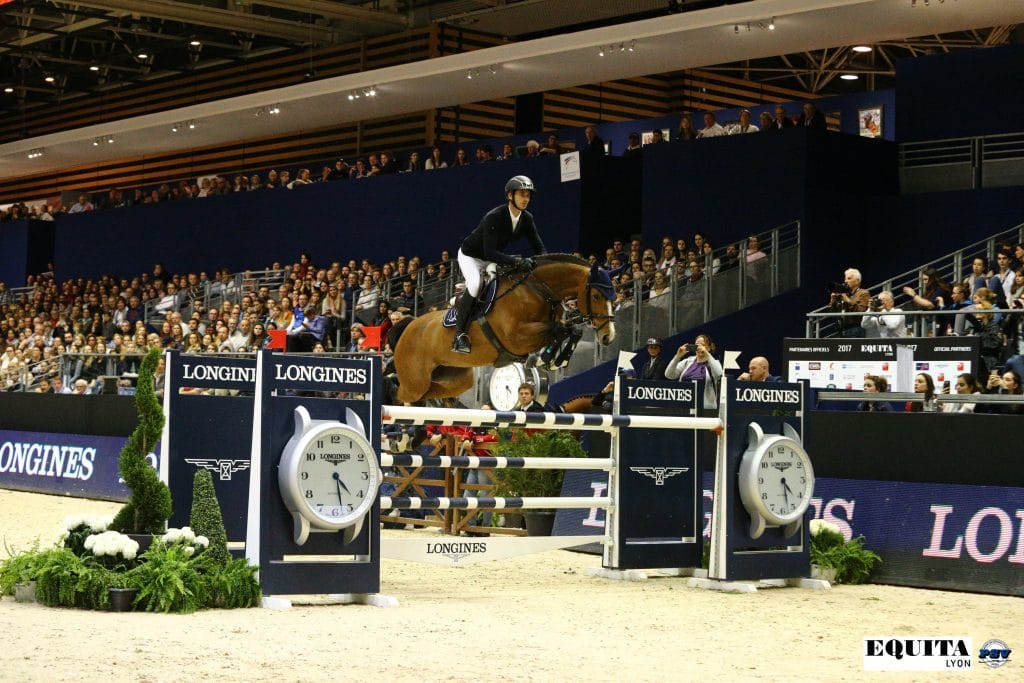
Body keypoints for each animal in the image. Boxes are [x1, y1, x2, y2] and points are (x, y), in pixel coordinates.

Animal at [391, 254, 614, 405]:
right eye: (596, 296)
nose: (608, 337)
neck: (539, 290)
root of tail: (408, 326)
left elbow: (570, 331)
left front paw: (552, 359)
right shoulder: (517, 337)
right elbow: (560, 330)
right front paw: (547, 359)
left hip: (455, 379)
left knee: (429, 393)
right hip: (415, 382)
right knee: (399, 396)